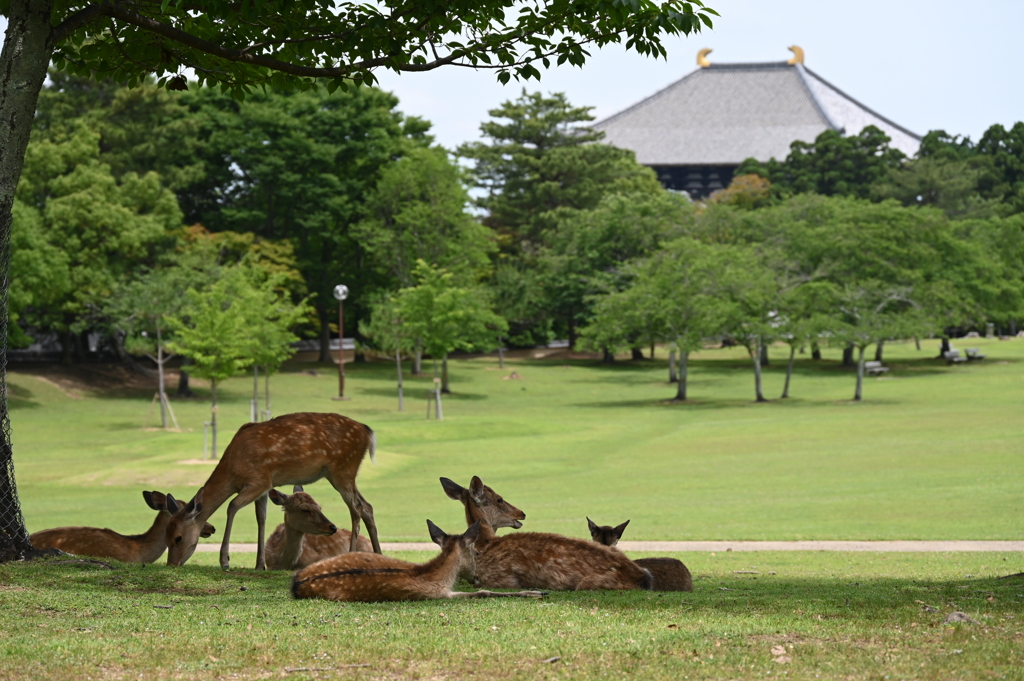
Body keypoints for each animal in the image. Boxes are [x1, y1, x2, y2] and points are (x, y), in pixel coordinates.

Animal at [163, 411, 380, 569]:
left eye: (178, 538)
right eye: (165, 534)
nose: (171, 564)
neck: (232, 471)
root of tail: (368, 432)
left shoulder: (259, 480)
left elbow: (231, 507)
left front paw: (225, 561)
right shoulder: (264, 488)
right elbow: (261, 518)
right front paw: (260, 565)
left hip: (342, 469)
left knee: (356, 509)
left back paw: (351, 555)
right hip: (345, 473)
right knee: (367, 506)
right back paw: (379, 554)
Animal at [290, 520, 544, 602]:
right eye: (476, 554)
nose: (476, 578)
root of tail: (296, 582)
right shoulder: (439, 595)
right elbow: (483, 594)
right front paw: (535, 593)